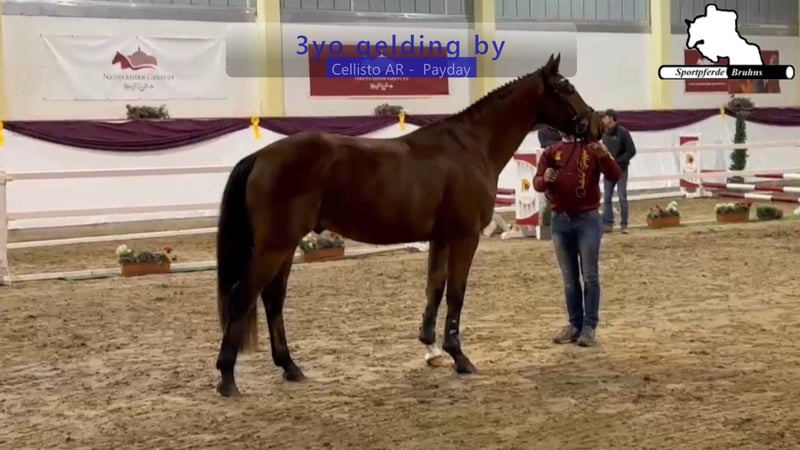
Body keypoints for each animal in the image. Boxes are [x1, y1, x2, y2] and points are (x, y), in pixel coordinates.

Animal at [214, 53, 604, 397]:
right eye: (567, 87)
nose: (597, 125)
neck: (471, 145)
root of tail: (260, 156)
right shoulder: (464, 237)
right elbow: (456, 293)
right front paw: (460, 357)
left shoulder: (441, 238)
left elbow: (434, 288)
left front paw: (432, 350)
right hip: (275, 245)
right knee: (243, 296)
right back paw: (227, 378)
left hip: (284, 245)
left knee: (272, 299)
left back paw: (290, 367)